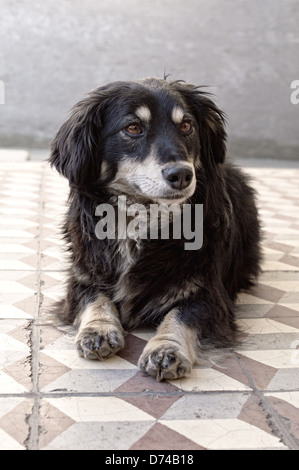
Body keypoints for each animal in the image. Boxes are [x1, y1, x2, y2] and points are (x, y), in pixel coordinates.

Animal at [49, 78, 260, 382]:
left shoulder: (210, 296)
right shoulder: (82, 276)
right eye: (133, 128)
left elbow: (181, 315)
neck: (142, 220)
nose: (182, 175)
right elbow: (94, 298)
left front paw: (166, 349)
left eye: (186, 126)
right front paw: (97, 328)